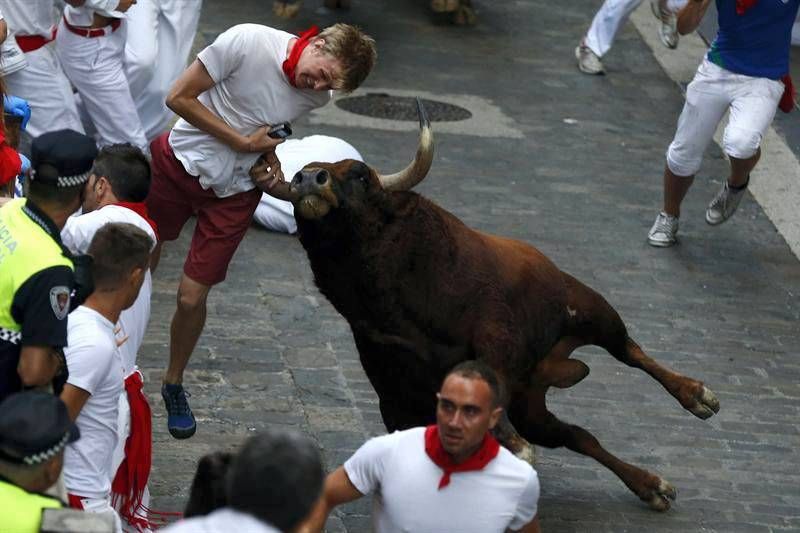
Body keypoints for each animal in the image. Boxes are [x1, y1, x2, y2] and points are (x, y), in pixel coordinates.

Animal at [268, 101, 720, 512]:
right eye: (301, 173)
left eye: (360, 175)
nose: (308, 178)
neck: (400, 309)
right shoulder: (393, 397)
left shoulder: (493, 336)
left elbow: (496, 395)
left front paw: (512, 458)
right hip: (532, 407)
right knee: (577, 434)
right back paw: (651, 485)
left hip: (591, 310)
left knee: (631, 351)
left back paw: (697, 397)